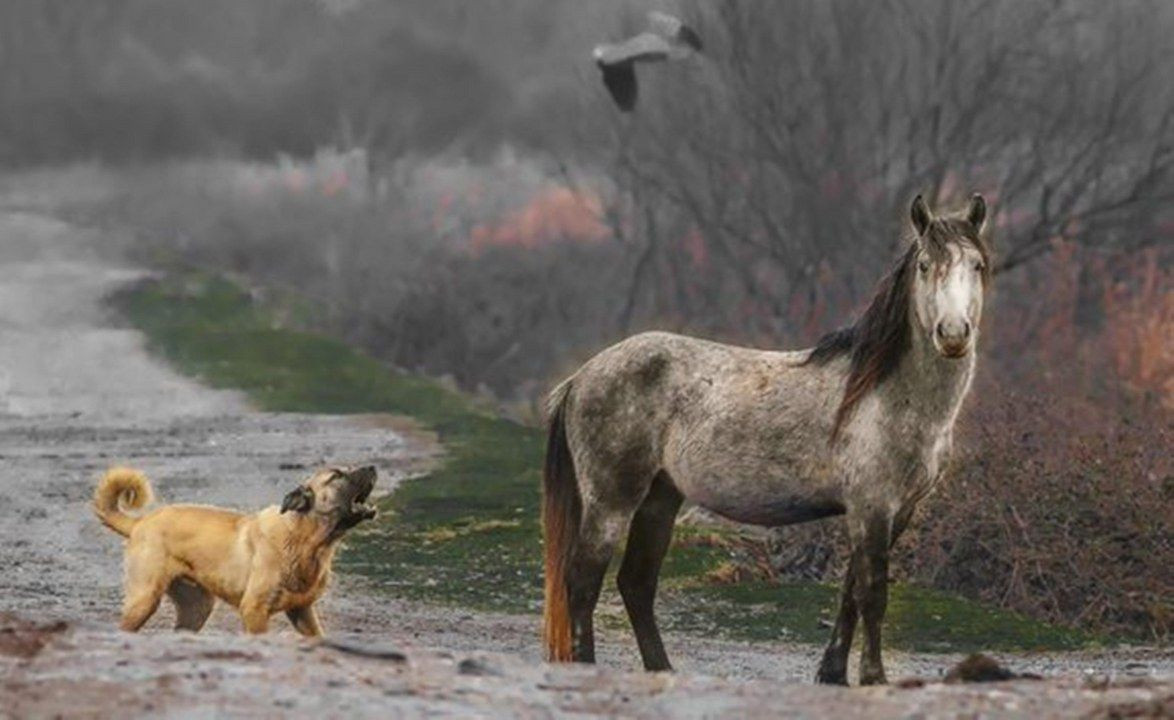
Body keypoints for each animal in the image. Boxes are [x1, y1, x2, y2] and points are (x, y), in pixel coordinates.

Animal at [98, 460, 380, 634]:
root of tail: (140, 522)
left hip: (196, 608)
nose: (372, 466)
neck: (304, 539)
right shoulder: (254, 610)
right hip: (144, 600)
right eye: (337, 475)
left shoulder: (302, 612)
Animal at [540, 193, 990, 681]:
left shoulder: (897, 511)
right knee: (583, 581)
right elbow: (872, 595)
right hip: (611, 501)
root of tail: (582, 377)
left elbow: (850, 593)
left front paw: (833, 674)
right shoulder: (871, 507)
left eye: (978, 265)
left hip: (660, 498)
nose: (952, 334)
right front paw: (873, 678)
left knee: (636, 583)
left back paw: (663, 670)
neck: (885, 394)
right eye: (926, 265)